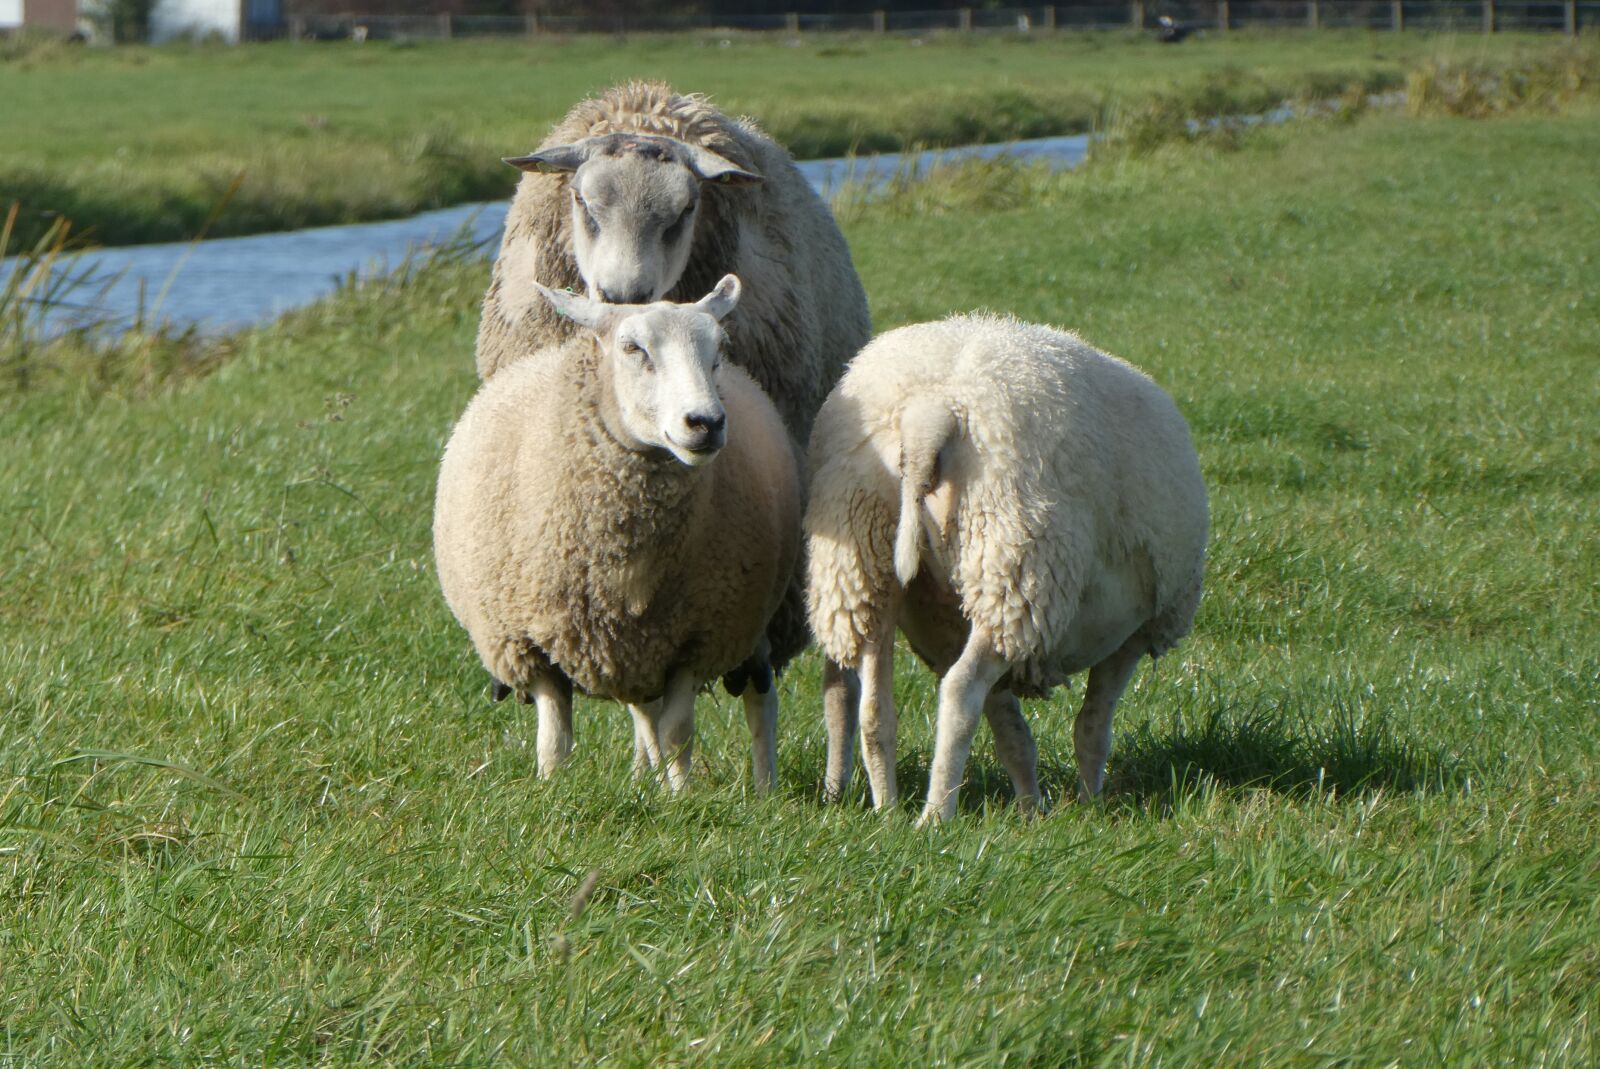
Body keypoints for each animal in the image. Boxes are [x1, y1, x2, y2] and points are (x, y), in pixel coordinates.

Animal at [434, 275, 802, 792]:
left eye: (718, 351)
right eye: (632, 348)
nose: (706, 423)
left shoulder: (697, 637)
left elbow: (678, 732)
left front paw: (682, 796)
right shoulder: (531, 645)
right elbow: (555, 738)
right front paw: (553, 789)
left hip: (747, 622)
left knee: (758, 700)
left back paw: (764, 788)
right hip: (631, 648)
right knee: (643, 712)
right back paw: (644, 777)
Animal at [804, 314, 1209, 825]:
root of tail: (930, 414)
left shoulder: (957, 625)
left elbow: (1014, 733)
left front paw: (1032, 811)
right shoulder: (1136, 632)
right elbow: (1092, 727)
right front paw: (1089, 806)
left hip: (863, 555)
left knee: (876, 708)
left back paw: (890, 812)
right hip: (1014, 565)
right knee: (960, 691)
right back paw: (935, 815)